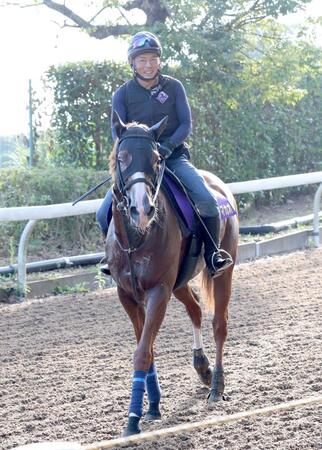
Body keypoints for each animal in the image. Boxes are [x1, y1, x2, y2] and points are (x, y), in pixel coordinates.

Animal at [105, 110, 239, 436]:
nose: (142, 210)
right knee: (195, 310)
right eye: (123, 157)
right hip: (179, 284)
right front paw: (152, 406)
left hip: (222, 273)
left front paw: (133, 419)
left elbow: (143, 351)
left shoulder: (158, 292)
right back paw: (202, 367)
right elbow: (147, 348)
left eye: (156, 159)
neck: (136, 237)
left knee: (219, 324)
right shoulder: (128, 295)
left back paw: (216, 386)